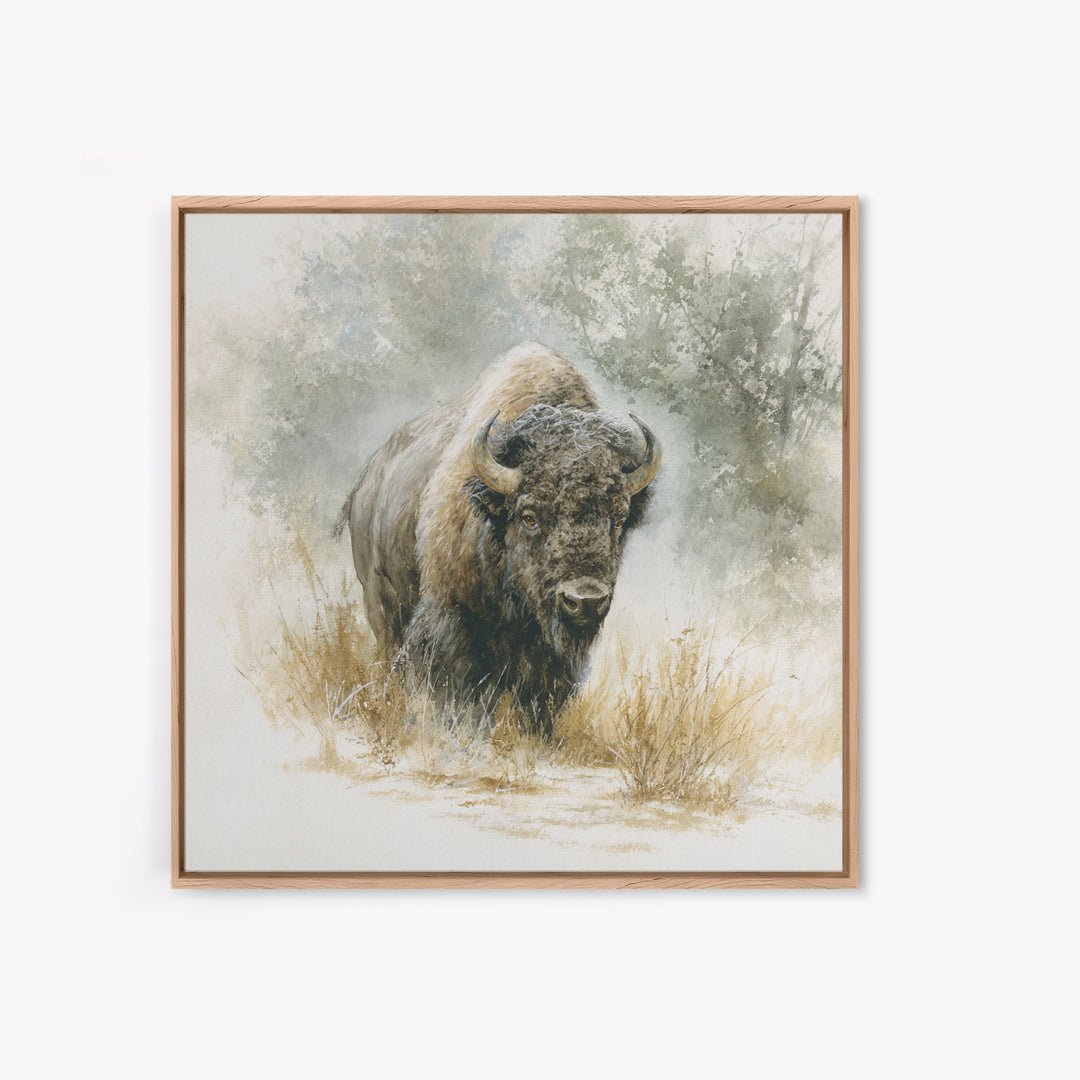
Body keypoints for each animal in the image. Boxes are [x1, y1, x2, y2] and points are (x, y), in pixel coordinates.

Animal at [335, 342, 661, 735]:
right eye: (529, 516)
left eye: (618, 518)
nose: (585, 601)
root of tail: (364, 483)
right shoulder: (452, 622)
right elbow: (462, 694)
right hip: (380, 602)